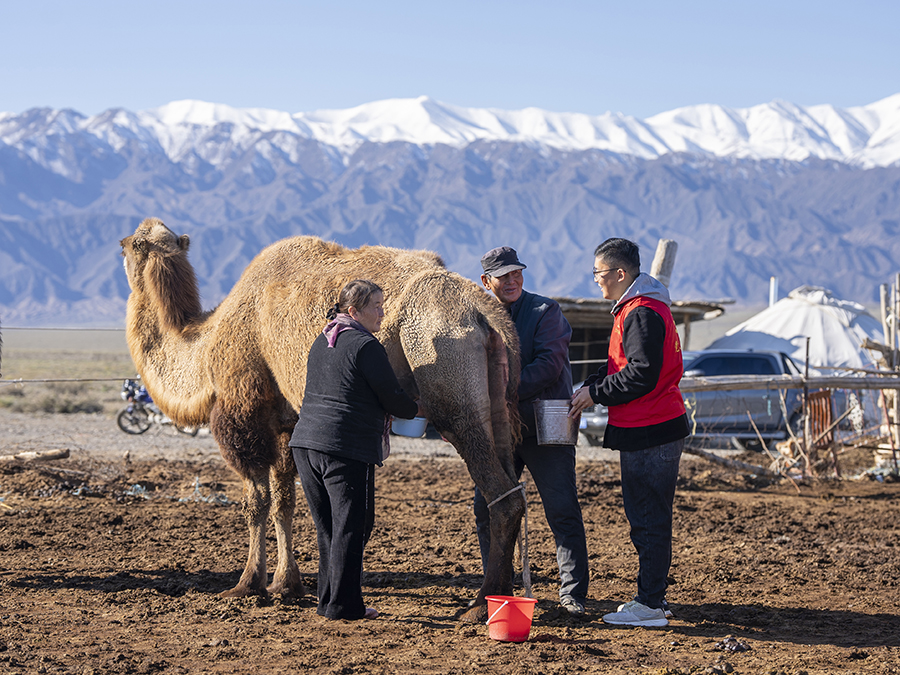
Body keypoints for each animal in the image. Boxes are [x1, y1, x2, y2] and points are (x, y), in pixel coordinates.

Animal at [123, 219, 524, 620]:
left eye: (133, 244)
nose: (123, 241)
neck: (205, 343)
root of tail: (482, 309)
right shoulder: (286, 424)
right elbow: (284, 501)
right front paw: (286, 585)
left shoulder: (245, 412)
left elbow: (256, 501)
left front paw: (247, 585)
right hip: (500, 399)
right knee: (512, 487)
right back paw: (499, 598)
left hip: (447, 376)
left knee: (499, 494)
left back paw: (480, 605)